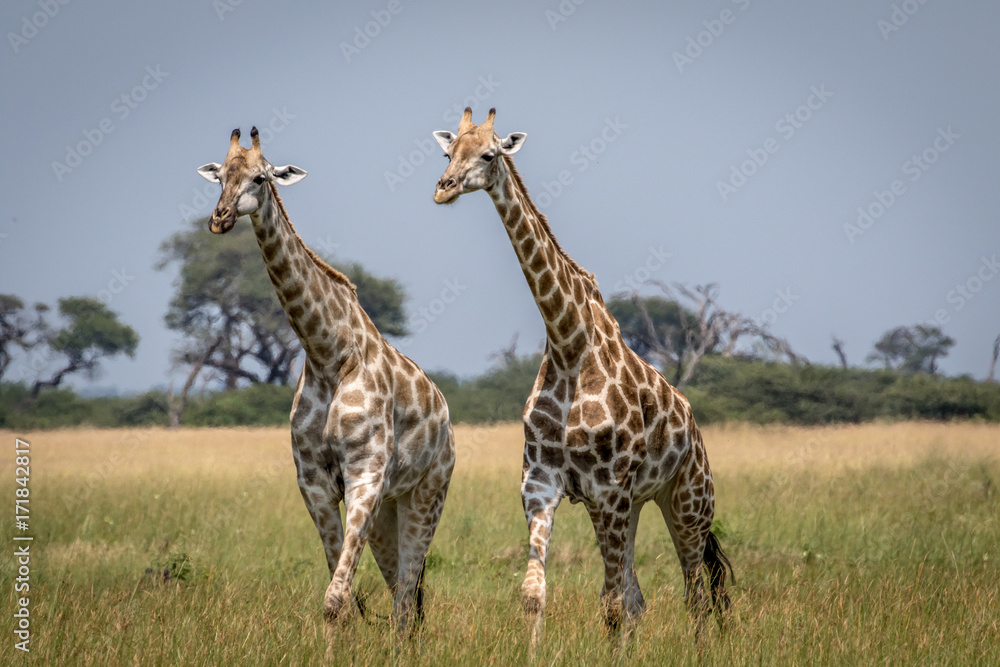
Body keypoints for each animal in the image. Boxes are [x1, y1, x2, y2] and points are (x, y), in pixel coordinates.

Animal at [197, 127, 455, 634]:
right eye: (219, 175)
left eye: (259, 177)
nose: (219, 219)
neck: (328, 355)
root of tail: (445, 413)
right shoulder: (314, 482)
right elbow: (345, 599)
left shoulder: (365, 474)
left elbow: (336, 599)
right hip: (389, 507)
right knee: (402, 593)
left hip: (428, 491)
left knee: (405, 598)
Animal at [432, 109, 732, 644]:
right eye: (447, 153)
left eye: (488, 154)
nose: (443, 189)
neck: (569, 345)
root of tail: (695, 428)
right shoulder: (541, 482)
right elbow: (535, 595)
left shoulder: (609, 487)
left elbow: (610, 605)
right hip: (632, 503)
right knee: (639, 597)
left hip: (687, 501)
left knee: (695, 595)